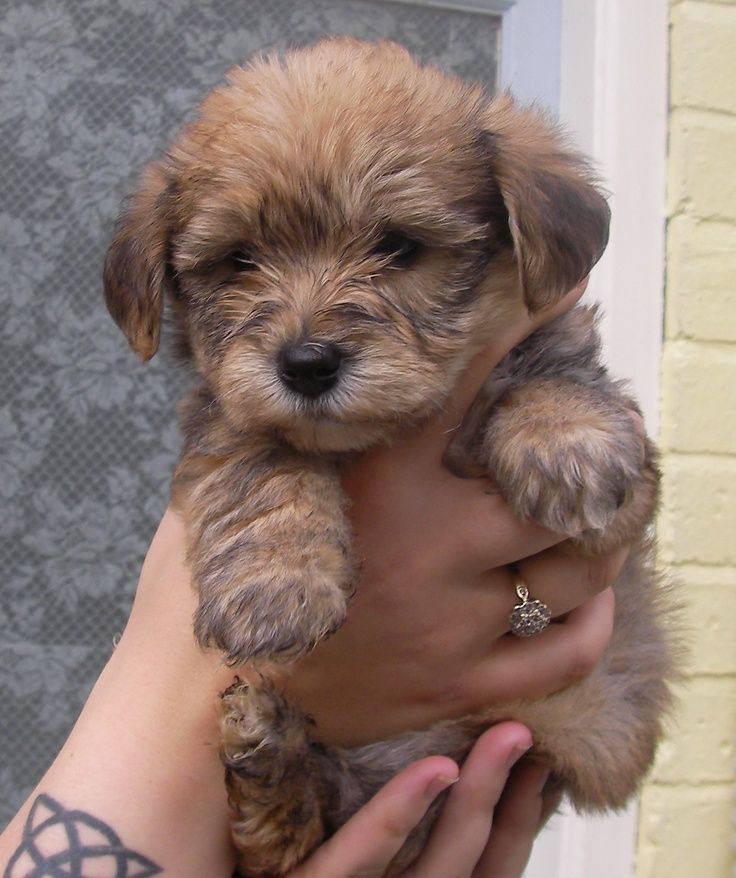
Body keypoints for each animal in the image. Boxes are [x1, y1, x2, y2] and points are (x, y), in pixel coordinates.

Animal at [102, 39, 680, 878]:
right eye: (239, 261)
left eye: (399, 247)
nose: (306, 364)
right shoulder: (225, 406)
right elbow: (257, 458)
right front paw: (277, 581)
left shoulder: (627, 506)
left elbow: (552, 370)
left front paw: (563, 436)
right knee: (292, 842)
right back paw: (270, 761)